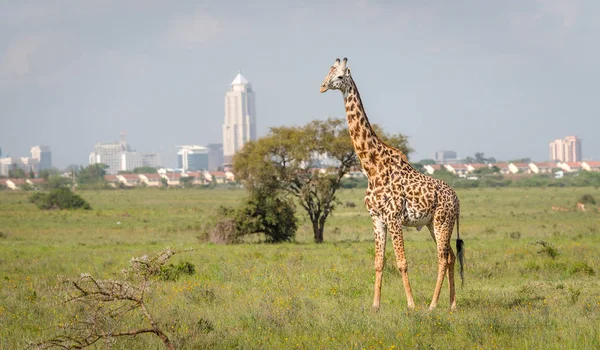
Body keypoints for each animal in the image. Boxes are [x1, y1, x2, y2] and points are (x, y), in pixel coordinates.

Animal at [318, 58, 464, 312]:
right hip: (431, 224)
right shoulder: (377, 218)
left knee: (442, 258)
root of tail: (456, 200)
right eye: (328, 73)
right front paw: (375, 305)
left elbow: (402, 262)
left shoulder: (394, 218)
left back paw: (432, 305)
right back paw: (452, 305)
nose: (323, 86)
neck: (372, 167)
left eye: (339, 77)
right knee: (450, 257)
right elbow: (379, 262)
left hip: (442, 221)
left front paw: (411, 304)